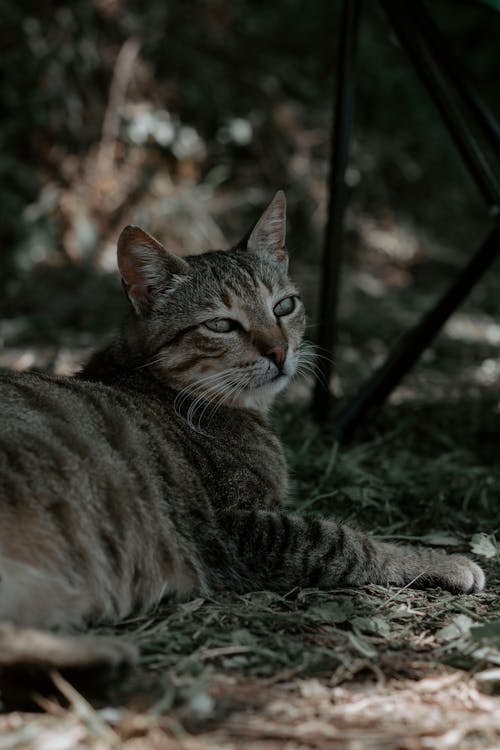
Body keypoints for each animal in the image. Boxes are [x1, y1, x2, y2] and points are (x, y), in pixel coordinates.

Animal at [0, 189, 484, 636]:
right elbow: (346, 541)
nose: (279, 350)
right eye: (220, 324)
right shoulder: (231, 529)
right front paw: (440, 561)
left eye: (284, 306)